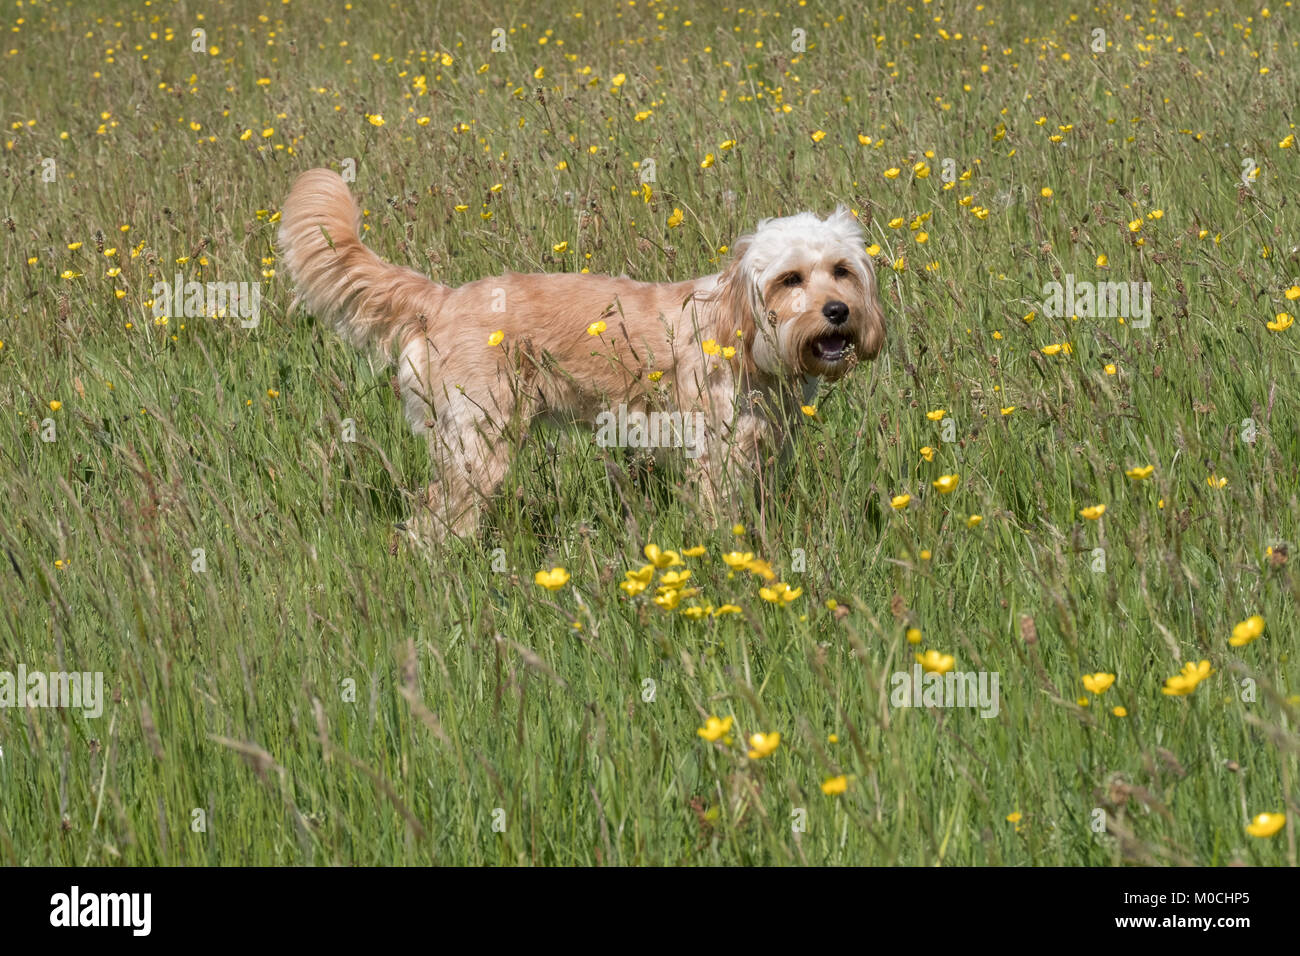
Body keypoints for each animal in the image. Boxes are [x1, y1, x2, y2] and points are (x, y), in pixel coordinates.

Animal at [279, 169, 889, 541]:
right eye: (790, 279)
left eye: (841, 270)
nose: (837, 312)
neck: (737, 328)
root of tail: (442, 298)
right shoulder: (717, 460)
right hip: (479, 448)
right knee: (433, 523)